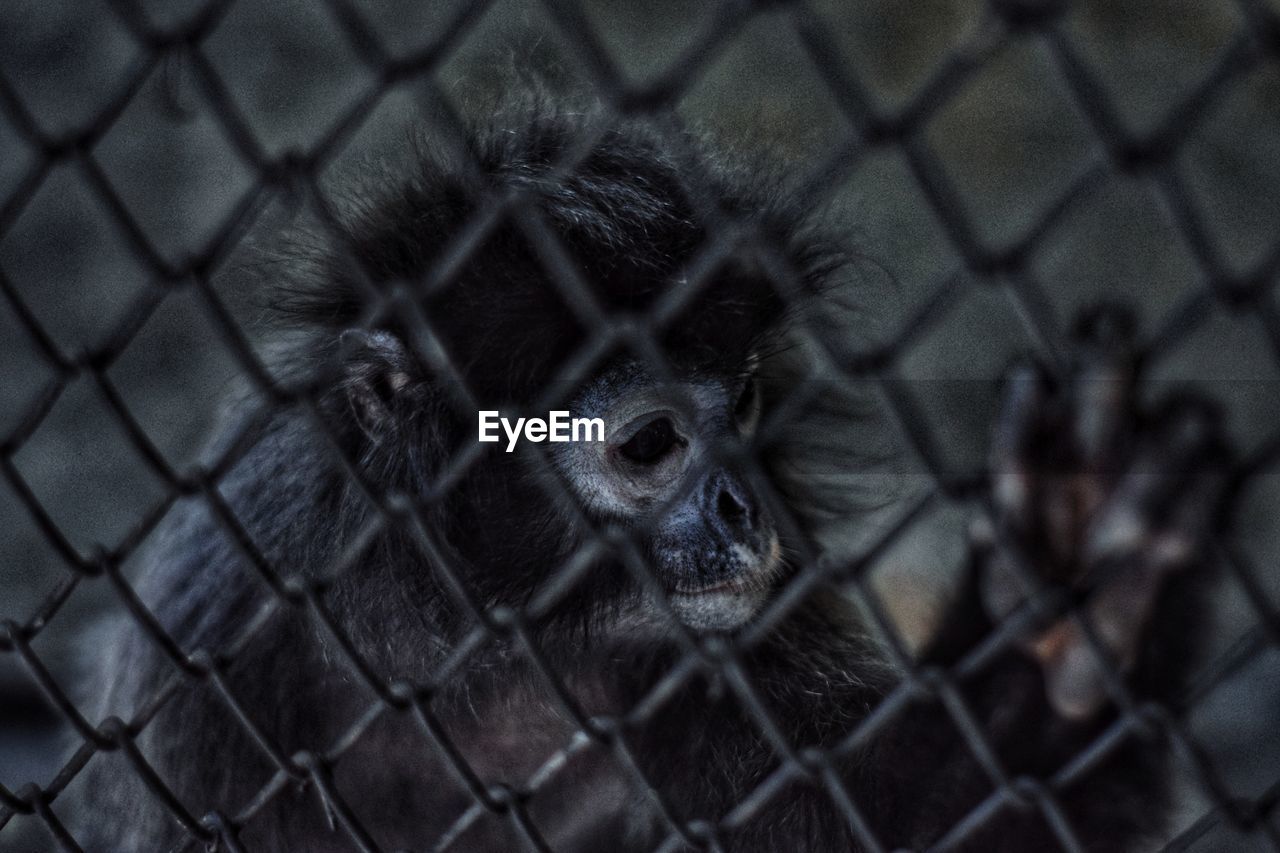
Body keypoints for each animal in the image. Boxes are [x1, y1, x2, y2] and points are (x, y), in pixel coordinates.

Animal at [74, 101, 1233, 850]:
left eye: (747, 401)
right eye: (647, 446)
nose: (744, 506)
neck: (477, 653)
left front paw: (1071, 600)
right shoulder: (217, 643)